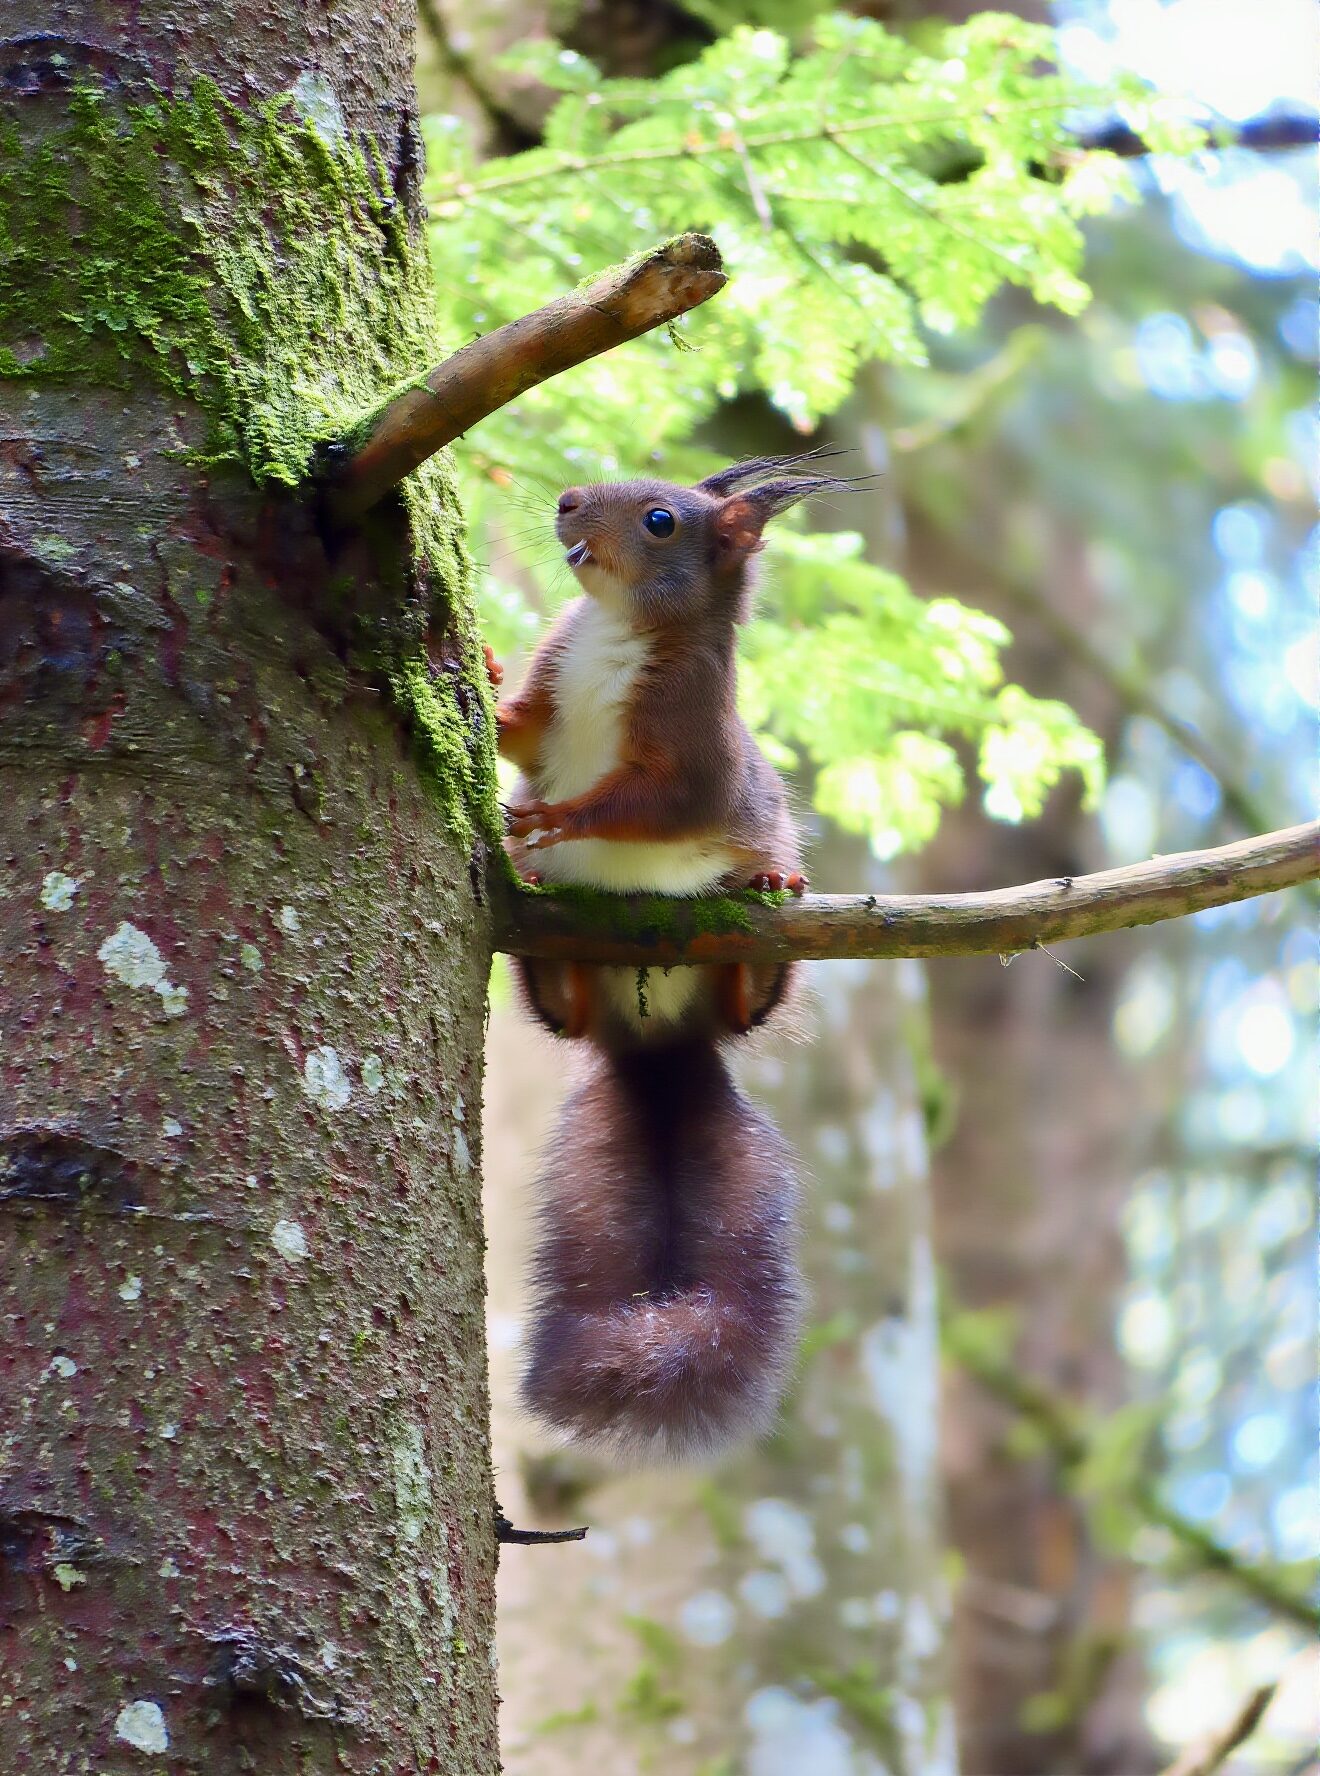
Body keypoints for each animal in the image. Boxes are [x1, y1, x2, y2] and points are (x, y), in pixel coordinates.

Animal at [490, 452, 844, 1460]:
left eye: (660, 521)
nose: (567, 502)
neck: (616, 628)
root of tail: (657, 1045)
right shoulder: (554, 683)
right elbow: (521, 732)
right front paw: (480, 668)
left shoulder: (689, 752)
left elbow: (639, 808)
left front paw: (555, 817)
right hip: (567, 979)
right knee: (561, 1011)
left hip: (746, 968)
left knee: (749, 1004)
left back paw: (768, 898)